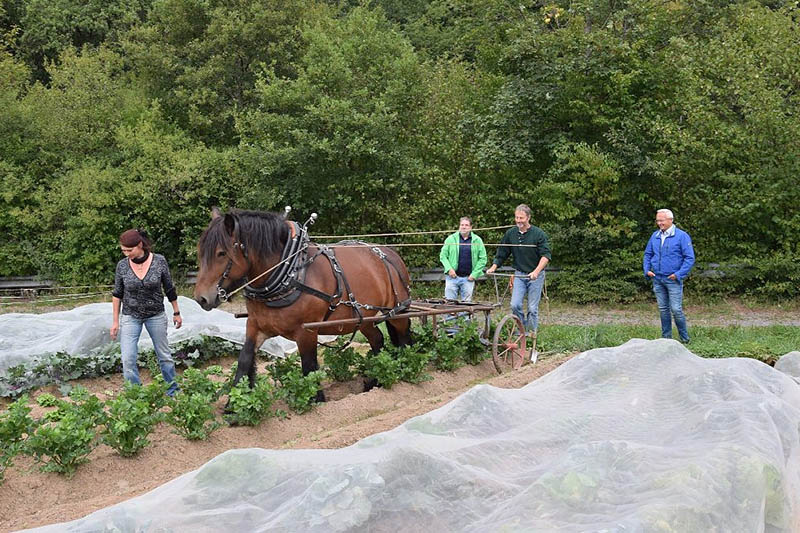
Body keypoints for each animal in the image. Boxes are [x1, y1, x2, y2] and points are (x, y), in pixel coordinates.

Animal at [194, 208, 412, 400]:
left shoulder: (306, 331)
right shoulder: (256, 325)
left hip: (398, 312)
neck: (291, 273)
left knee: (404, 339)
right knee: (377, 340)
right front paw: (233, 407)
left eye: (221, 253)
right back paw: (375, 381)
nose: (201, 298)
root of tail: (389, 254)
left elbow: (309, 367)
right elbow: (244, 360)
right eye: (200, 251)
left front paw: (316, 401)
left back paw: (407, 371)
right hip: (363, 318)